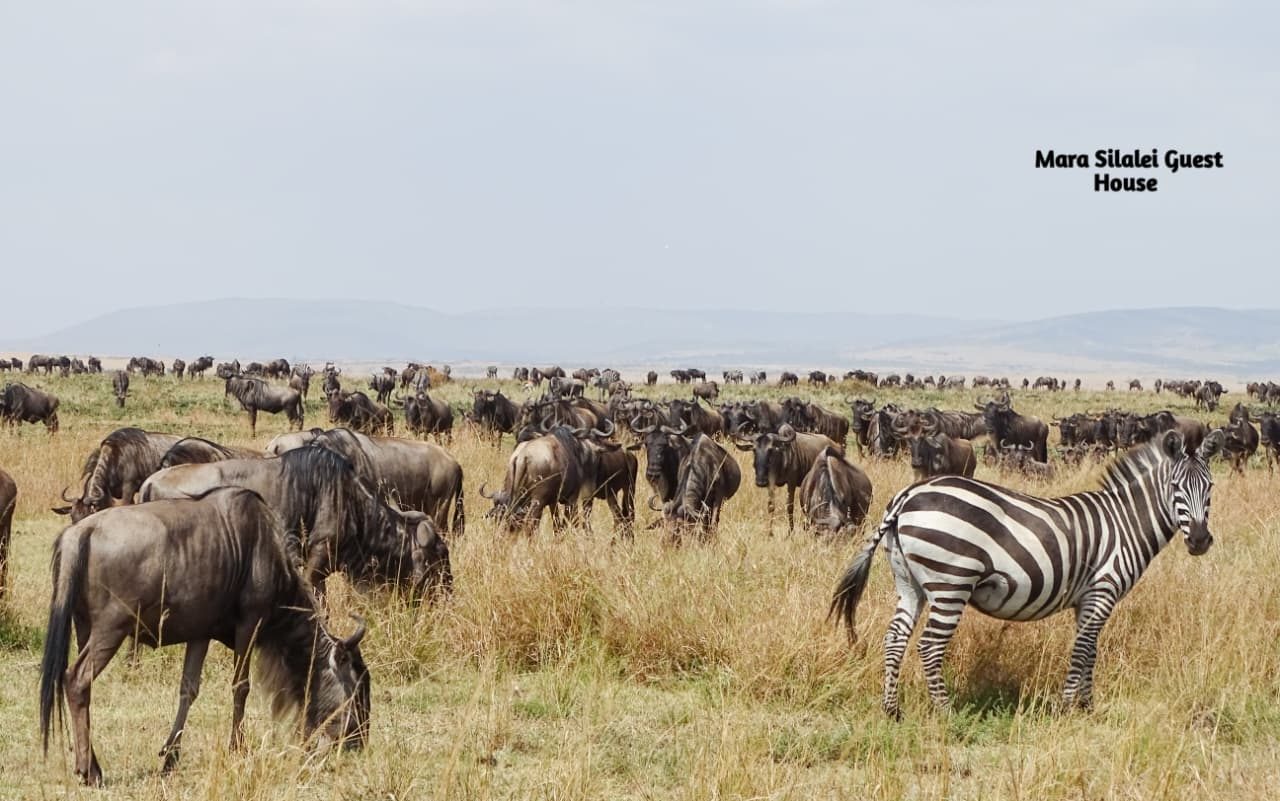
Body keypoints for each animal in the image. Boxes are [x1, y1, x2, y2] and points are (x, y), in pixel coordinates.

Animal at [830, 428, 1221, 719]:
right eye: (1175, 488)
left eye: (1211, 488)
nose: (1200, 541)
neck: (1124, 523)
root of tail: (908, 495)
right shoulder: (1102, 590)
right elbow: (1083, 649)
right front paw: (1068, 708)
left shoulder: (1087, 600)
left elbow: (1091, 650)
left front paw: (1086, 706)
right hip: (950, 582)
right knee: (929, 645)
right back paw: (945, 712)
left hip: (910, 583)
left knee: (895, 638)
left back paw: (892, 710)